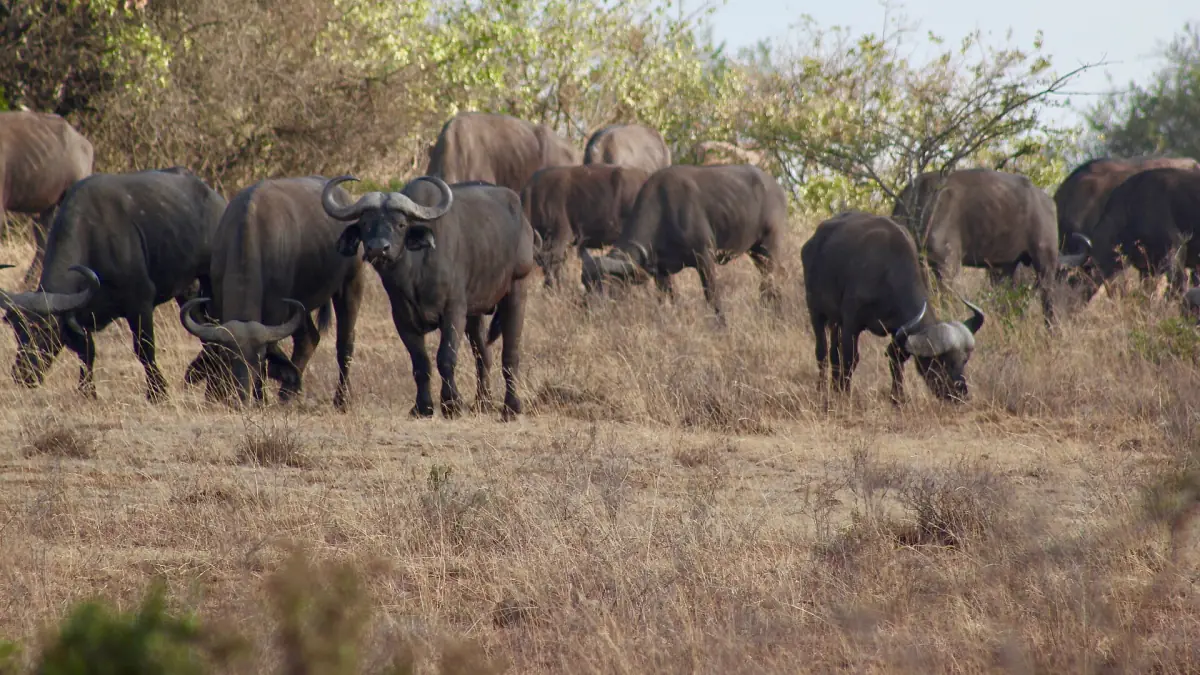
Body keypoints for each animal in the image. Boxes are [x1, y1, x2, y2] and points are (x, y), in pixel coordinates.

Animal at [0, 167, 225, 401]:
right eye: (17, 330)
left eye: (45, 329)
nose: (22, 374)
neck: (94, 237)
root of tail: (214, 198)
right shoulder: (82, 312)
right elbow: (87, 351)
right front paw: (87, 390)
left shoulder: (140, 304)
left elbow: (144, 349)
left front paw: (157, 391)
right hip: (187, 290)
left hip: (209, 279)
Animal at [180, 176, 366, 408]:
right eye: (227, 357)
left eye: (259, 360)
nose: (242, 396)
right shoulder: (216, 303)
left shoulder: (276, 310)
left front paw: (261, 399)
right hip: (302, 305)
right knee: (309, 339)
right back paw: (286, 394)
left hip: (351, 284)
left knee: (345, 343)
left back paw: (341, 400)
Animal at [321, 175, 535, 420]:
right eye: (366, 224)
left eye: (401, 224)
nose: (378, 249)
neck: (415, 272)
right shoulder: (402, 319)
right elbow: (420, 363)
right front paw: (423, 406)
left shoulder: (454, 312)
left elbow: (445, 358)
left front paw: (452, 404)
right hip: (475, 312)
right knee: (483, 354)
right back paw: (483, 402)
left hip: (517, 287)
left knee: (510, 354)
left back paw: (511, 407)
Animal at [580, 164, 785, 320]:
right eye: (586, 284)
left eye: (607, 284)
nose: (587, 308)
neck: (664, 212)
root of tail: (775, 187)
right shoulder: (661, 272)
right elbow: (668, 298)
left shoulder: (704, 258)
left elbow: (712, 295)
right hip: (755, 252)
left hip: (769, 247)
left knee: (771, 280)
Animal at [802, 210, 986, 403]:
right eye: (940, 361)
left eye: (964, 360)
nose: (960, 393)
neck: (886, 273)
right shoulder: (851, 323)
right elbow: (850, 358)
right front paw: (844, 393)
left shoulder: (898, 330)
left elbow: (896, 360)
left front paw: (897, 397)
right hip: (816, 311)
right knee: (822, 352)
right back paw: (822, 388)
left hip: (835, 321)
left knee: (833, 353)